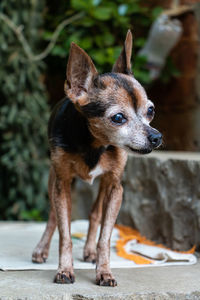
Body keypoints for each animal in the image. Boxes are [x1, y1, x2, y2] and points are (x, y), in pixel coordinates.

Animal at [32, 30, 162, 286]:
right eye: (118, 118)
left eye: (150, 111)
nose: (156, 137)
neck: (93, 144)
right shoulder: (62, 183)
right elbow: (64, 232)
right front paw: (64, 269)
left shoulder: (115, 187)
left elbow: (105, 235)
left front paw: (104, 271)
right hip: (54, 178)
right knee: (53, 216)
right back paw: (41, 249)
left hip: (105, 185)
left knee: (94, 214)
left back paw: (89, 251)